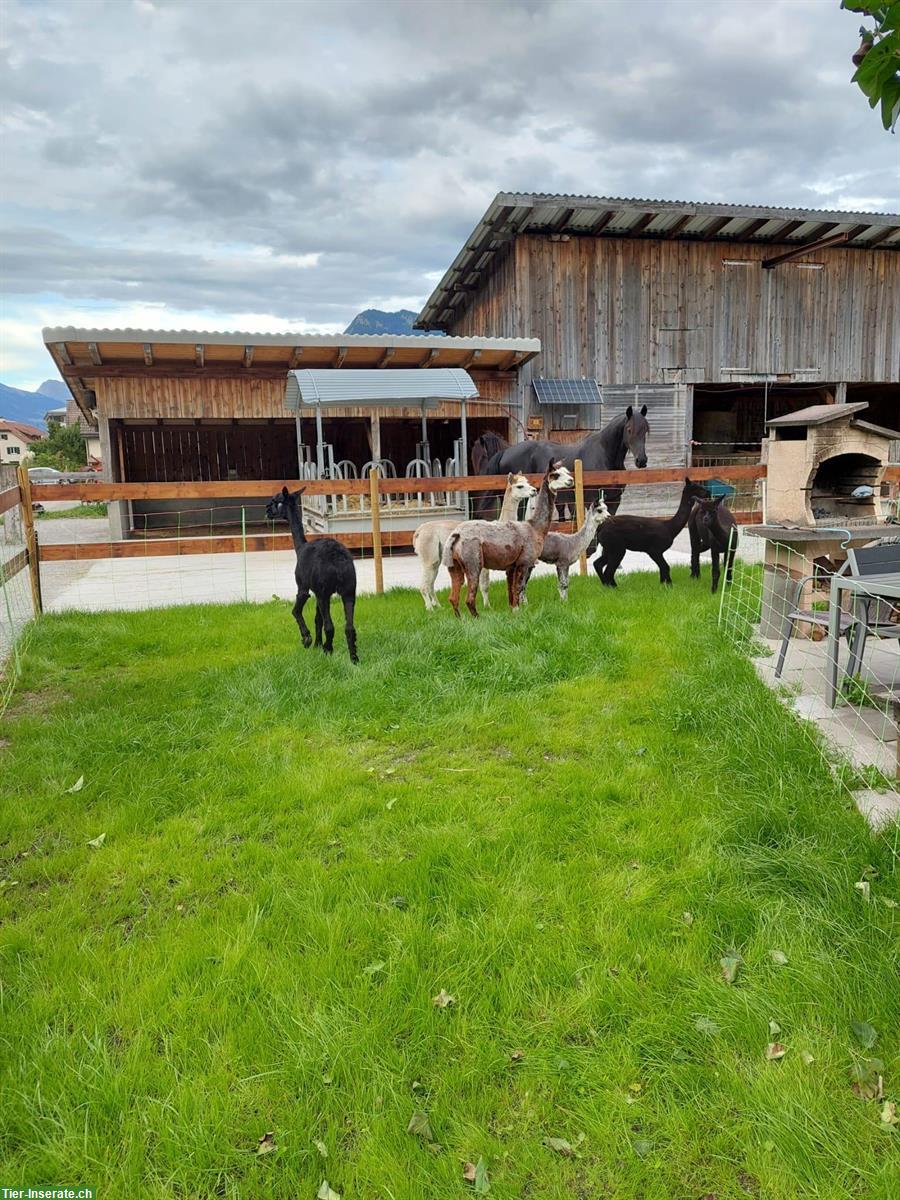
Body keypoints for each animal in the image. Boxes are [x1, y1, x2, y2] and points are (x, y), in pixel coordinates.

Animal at [482, 403, 652, 520]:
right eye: (629, 430)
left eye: (645, 430)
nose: (641, 460)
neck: (605, 457)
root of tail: (505, 452)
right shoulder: (590, 500)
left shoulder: (614, 500)